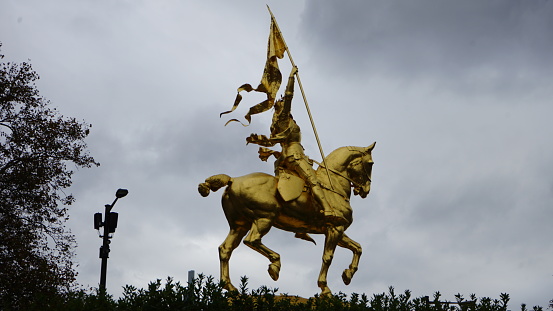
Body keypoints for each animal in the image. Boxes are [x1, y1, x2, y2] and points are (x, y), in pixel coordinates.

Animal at [198, 143, 376, 296]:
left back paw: (230, 286)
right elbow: (328, 257)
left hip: (239, 225)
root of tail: (233, 180)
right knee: (252, 240)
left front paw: (348, 274)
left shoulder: (335, 230)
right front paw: (325, 288)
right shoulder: (335, 229)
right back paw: (275, 265)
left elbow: (357, 248)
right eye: (371, 163)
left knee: (225, 249)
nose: (366, 190)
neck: (332, 186)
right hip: (264, 218)